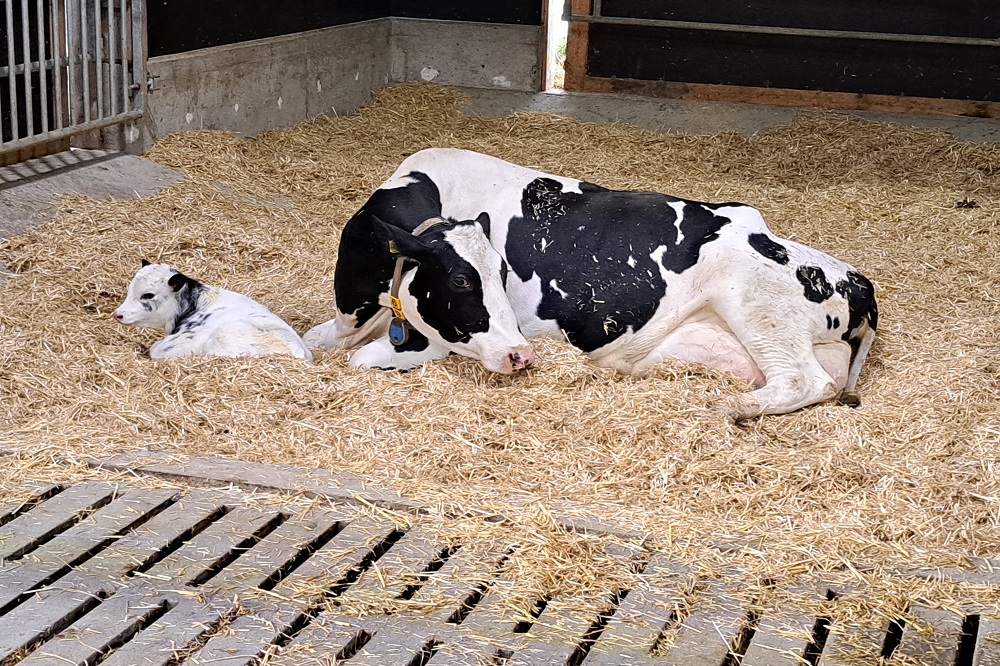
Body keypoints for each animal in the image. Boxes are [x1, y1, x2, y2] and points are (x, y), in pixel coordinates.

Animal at [304, 148, 876, 418]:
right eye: (464, 280)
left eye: (500, 274)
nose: (521, 355)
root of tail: (860, 281)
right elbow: (314, 340)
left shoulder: (443, 340)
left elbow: (362, 360)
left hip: (757, 305)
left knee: (805, 380)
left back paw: (728, 408)